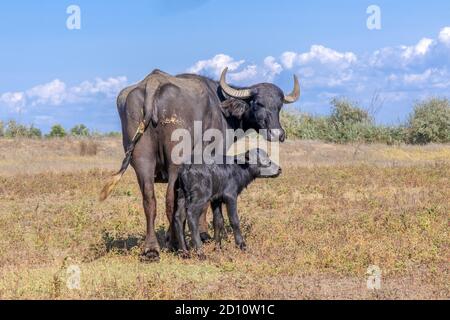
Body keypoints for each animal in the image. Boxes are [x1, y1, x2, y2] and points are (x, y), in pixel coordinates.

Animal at [100, 67, 300, 262]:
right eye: (258, 103)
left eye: (279, 106)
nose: (278, 134)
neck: (221, 109)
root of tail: (152, 83)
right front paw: (204, 235)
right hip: (176, 161)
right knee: (172, 201)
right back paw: (176, 245)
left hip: (142, 160)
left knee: (150, 200)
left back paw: (152, 249)